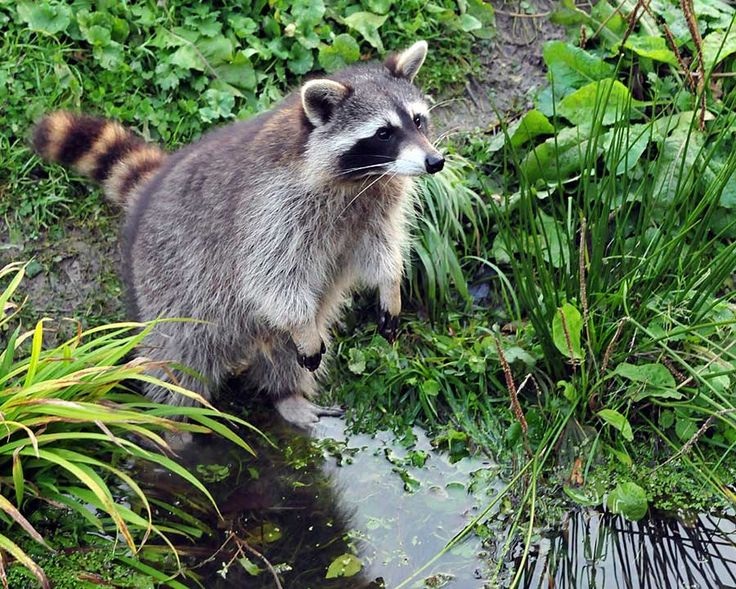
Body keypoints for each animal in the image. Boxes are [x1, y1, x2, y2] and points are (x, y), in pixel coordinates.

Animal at [31, 42, 442, 428]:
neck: (361, 178)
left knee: (284, 351)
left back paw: (287, 394)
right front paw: (304, 322)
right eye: (384, 133)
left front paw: (390, 285)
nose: (435, 162)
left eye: (418, 120)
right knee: (178, 360)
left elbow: (380, 247)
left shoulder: (375, 204)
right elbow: (272, 279)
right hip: (165, 287)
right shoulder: (271, 210)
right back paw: (174, 423)